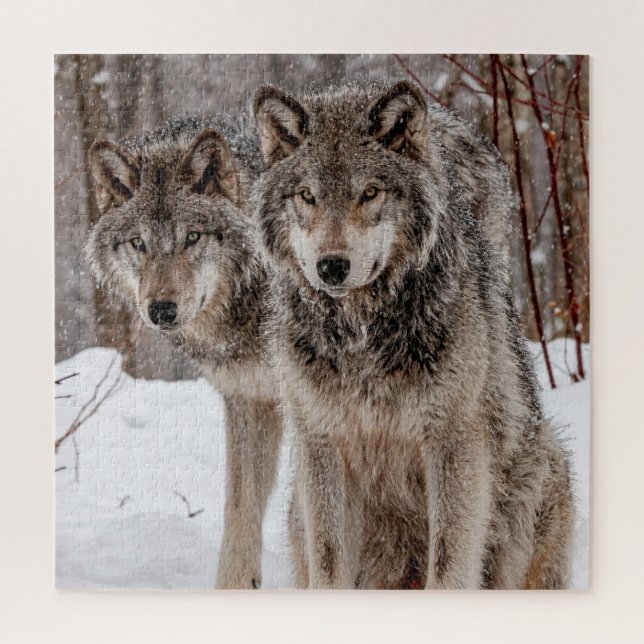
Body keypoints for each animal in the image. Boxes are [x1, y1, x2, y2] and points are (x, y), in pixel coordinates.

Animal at [252, 80, 574, 589]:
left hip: (538, 468)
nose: (332, 266)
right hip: (299, 508)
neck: (362, 334)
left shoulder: (454, 441)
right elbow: (329, 564)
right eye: (307, 195)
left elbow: (448, 565)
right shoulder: (321, 443)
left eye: (370, 192)